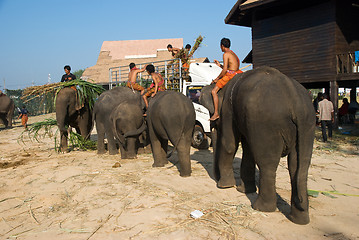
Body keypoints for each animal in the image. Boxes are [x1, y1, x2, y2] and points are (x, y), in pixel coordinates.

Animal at [201, 66, 316, 224]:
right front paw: (243, 190)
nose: (217, 180)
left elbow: (229, 144)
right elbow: (248, 149)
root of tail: (296, 100)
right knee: (298, 167)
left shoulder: (228, 109)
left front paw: (225, 186)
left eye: (211, 113)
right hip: (307, 125)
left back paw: (261, 208)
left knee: (267, 163)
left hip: (267, 125)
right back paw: (299, 219)